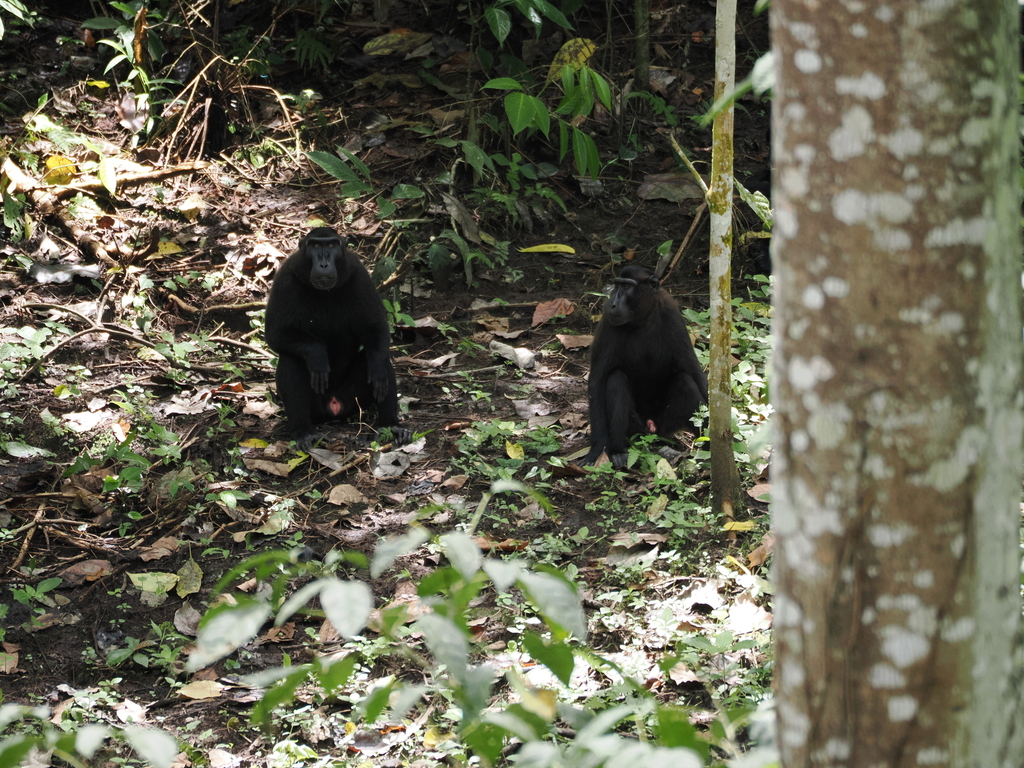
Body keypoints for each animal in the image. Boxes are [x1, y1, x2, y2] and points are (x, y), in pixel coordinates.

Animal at [265, 227, 411, 451]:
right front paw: (317, 356)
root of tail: (334, 405)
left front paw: (378, 370)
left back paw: (390, 425)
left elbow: (376, 328)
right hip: (316, 408)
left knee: (378, 357)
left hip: (354, 399)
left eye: (332, 245)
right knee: (291, 359)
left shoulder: (359, 274)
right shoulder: (285, 278)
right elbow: (275, 333)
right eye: (316, 246)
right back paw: (303, 432)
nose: (324, 263)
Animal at [581, 264, 708, 468]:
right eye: (617, 286)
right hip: (635, 428)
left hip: (665, 425)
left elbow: (693, 371)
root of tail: (651, 427)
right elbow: (598, 381)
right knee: (616, 379)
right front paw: (598, 450)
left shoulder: (672, 313)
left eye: (626, 287)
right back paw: (617, 451)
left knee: (684, 380)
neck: (643, 319)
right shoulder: (608, 319)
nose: (614, 303)